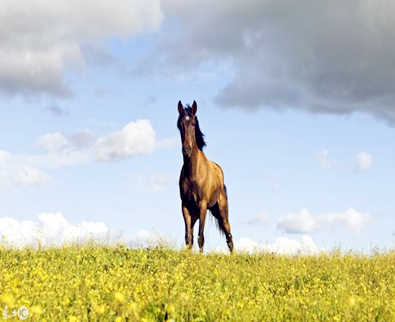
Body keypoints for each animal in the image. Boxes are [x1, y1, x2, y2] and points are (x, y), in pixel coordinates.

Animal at [177, 99, 235, 253]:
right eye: (180, 125)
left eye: (193, 123)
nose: (186, 149)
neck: (193, 173)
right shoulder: (185, 207)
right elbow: (188, 238)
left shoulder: (202, 205)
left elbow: (200, 237)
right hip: (196, 213)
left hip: (221, 210)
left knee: (229, 236)